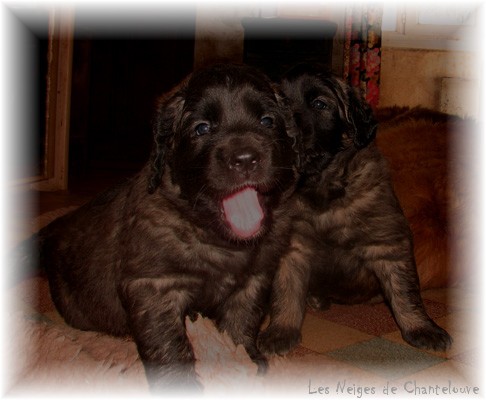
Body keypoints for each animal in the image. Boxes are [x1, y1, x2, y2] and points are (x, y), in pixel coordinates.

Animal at [33, 64, 296, 392]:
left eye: (267, 121)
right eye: (202, 128)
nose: (245, 159)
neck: (217, 238)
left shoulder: (255, 279)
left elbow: (241, 321)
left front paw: (246, 360)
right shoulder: (153, 287)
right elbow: (168, 342)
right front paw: (181, 383)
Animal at [258, 63, 452, 356]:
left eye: (320, 104)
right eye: (280, 106)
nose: (289, 131)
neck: (322, 189)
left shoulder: (389, 243)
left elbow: (406, 294)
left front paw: (422, 329)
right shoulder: (292, 249)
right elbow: (286, 293)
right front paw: (280, 332)